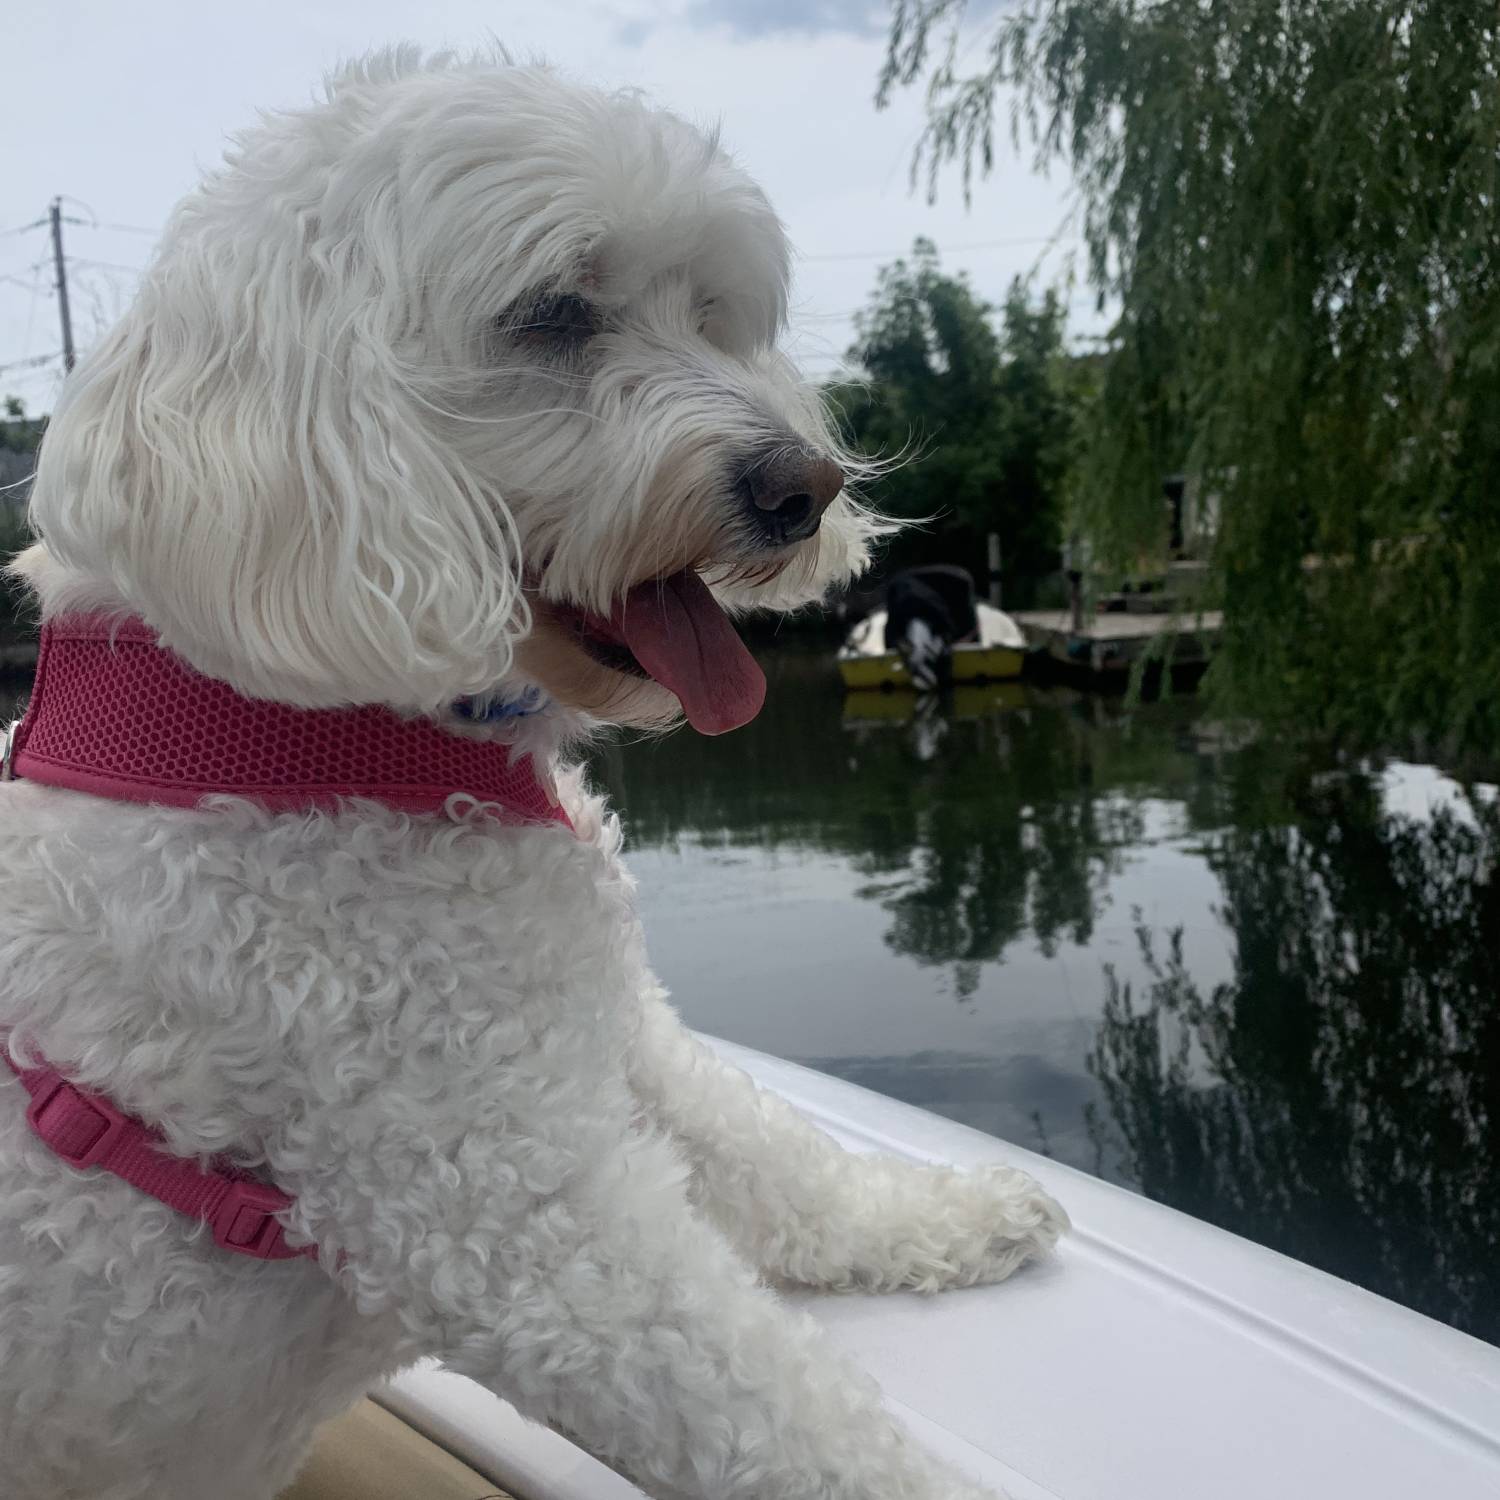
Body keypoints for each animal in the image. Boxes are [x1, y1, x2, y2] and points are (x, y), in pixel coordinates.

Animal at [0, 52, 1068, 1500]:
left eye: (713, 311)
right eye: (554, 314)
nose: (806, 486)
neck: (289, 732)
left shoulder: (609, 1035)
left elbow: (771, 1150)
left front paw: (950, 1210)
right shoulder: (506, 1204)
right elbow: (777, 1411)